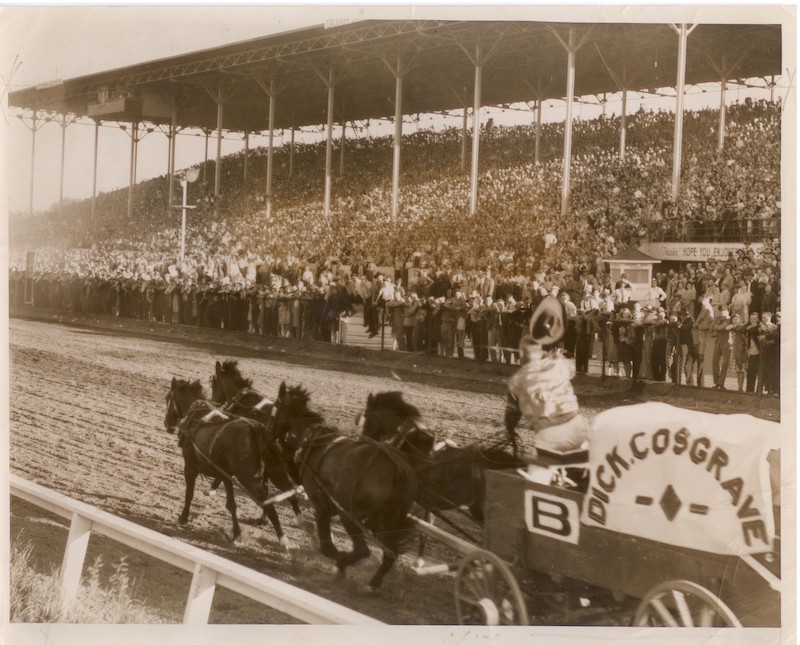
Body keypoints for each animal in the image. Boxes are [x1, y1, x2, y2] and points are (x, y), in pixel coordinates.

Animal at [162, 378, 296, 548]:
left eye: (168, 397)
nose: (167, 423)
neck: (198, 417)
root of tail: (257, 429)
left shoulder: (190, 466)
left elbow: (190, 494)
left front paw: (183, 518)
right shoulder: (225, 474)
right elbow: (231, 504)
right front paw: (236, 533)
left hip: (249, 479)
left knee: (268, 503)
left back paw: (284, 540)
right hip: (276, 473)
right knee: (290, 496)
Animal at [270, 382, 416, 588]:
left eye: (277, 404)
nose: (269, 429)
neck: (313, 438)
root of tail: (398, 469)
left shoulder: (322, 507)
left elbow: (326, 547)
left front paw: (337, 560)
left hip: (349, 516)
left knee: (364, 550)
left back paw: (343, 566)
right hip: (385, 522)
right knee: (389, 553)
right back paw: (374, 582)